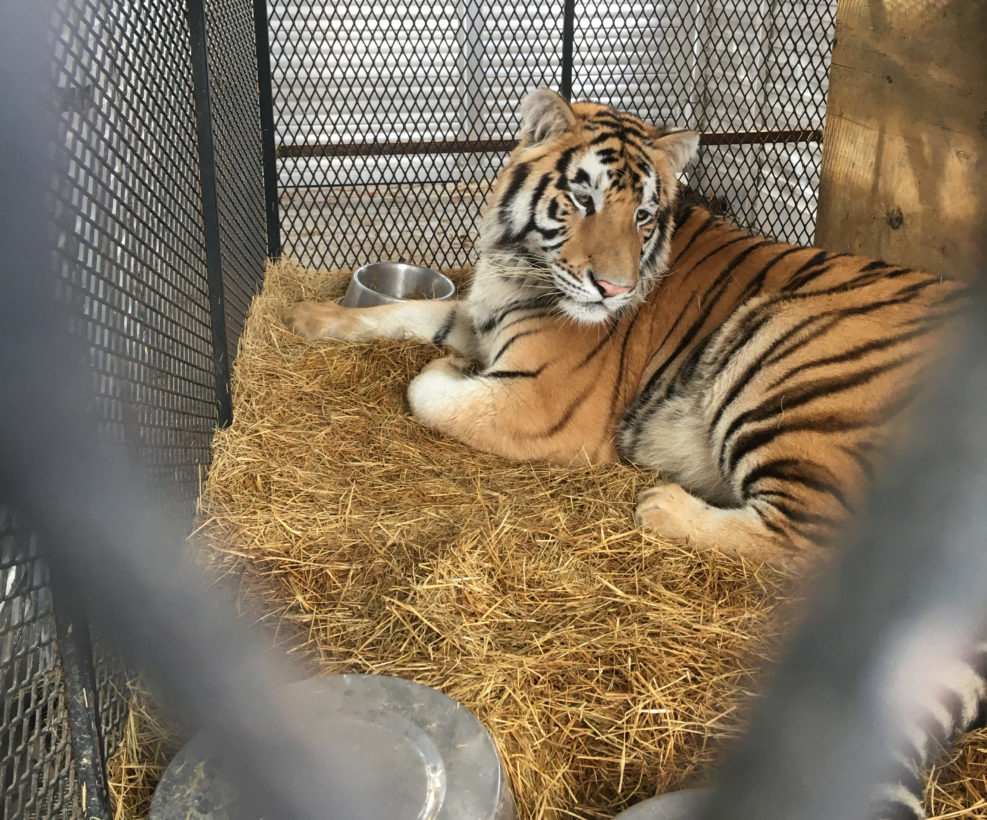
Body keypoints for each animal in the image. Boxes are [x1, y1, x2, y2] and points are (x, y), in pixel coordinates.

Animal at [283, 89, 983, 816]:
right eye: (581, 199)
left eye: (643, 215)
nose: (614, 291)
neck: (514, 269)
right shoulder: (478, 313)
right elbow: (410, 311)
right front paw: (311, 318)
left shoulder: (541, 405)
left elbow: (426, 390)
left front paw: (445, 368)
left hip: (783, 346)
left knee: (817, 539)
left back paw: (663, 507)